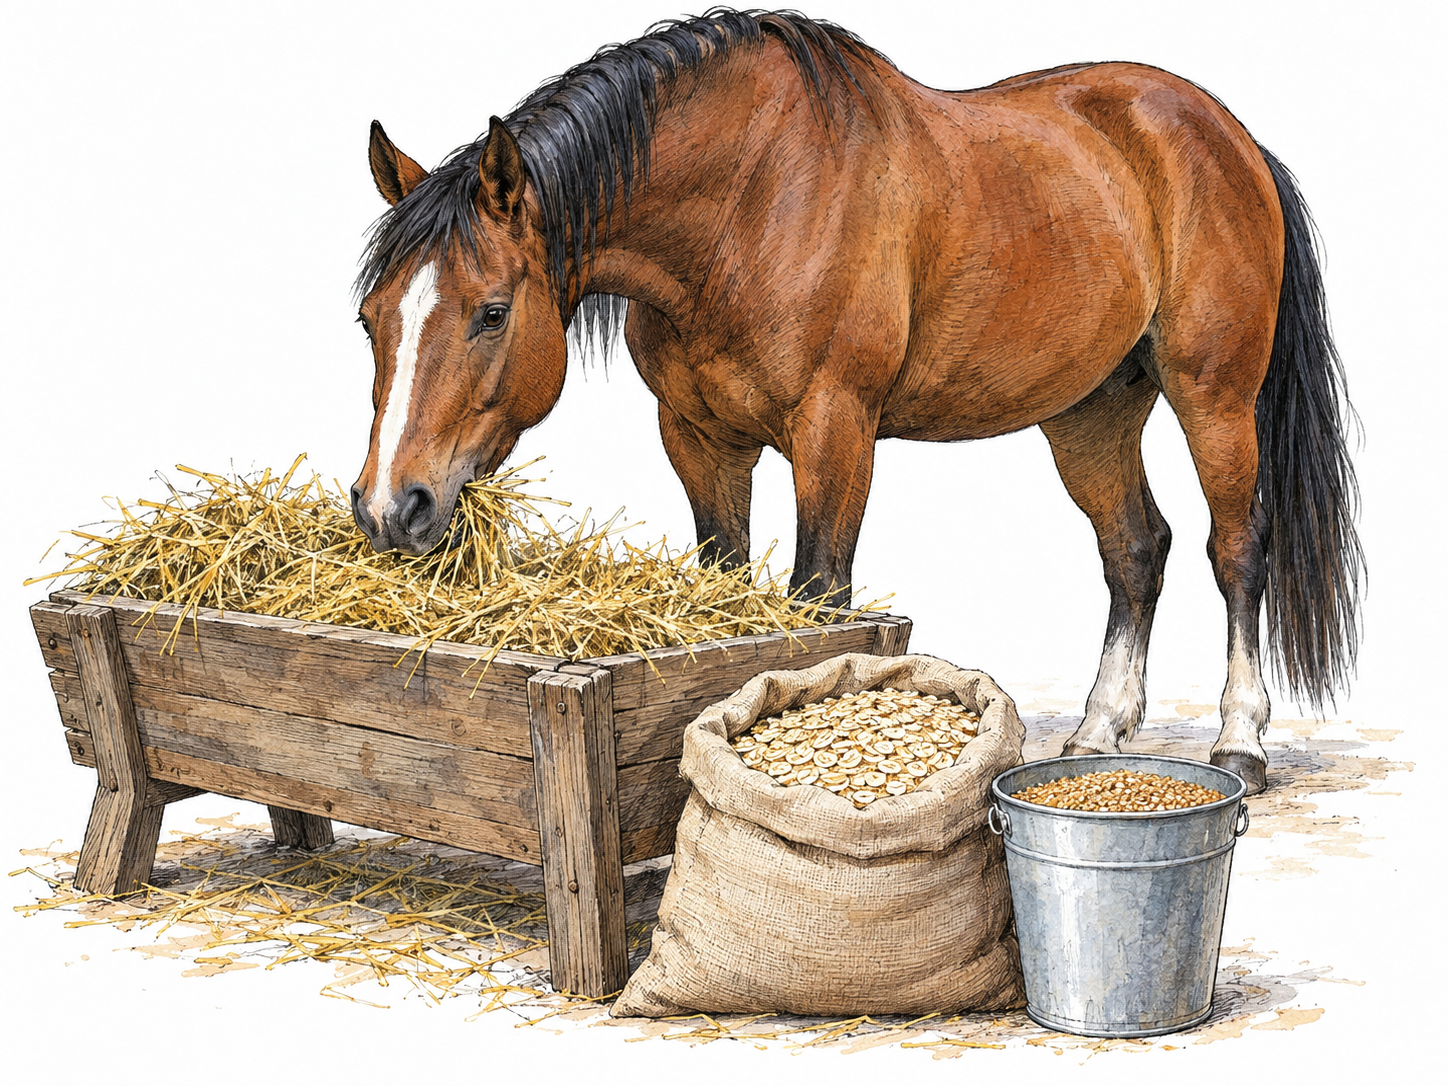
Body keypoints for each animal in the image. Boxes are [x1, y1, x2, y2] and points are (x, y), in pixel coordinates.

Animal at [349, 8, 1362, 794]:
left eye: (490, 312)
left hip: (1213, 395)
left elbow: (820, 597)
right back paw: (1096, 732)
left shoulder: (836, 430)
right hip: (1090, 410)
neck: (748, 201)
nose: (391, 506)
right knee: (1135, 551)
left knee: (1237, 550)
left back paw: (1240, 742)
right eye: (370, 318)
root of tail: (1226, 135)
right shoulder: (698, 439)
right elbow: (728, 584)